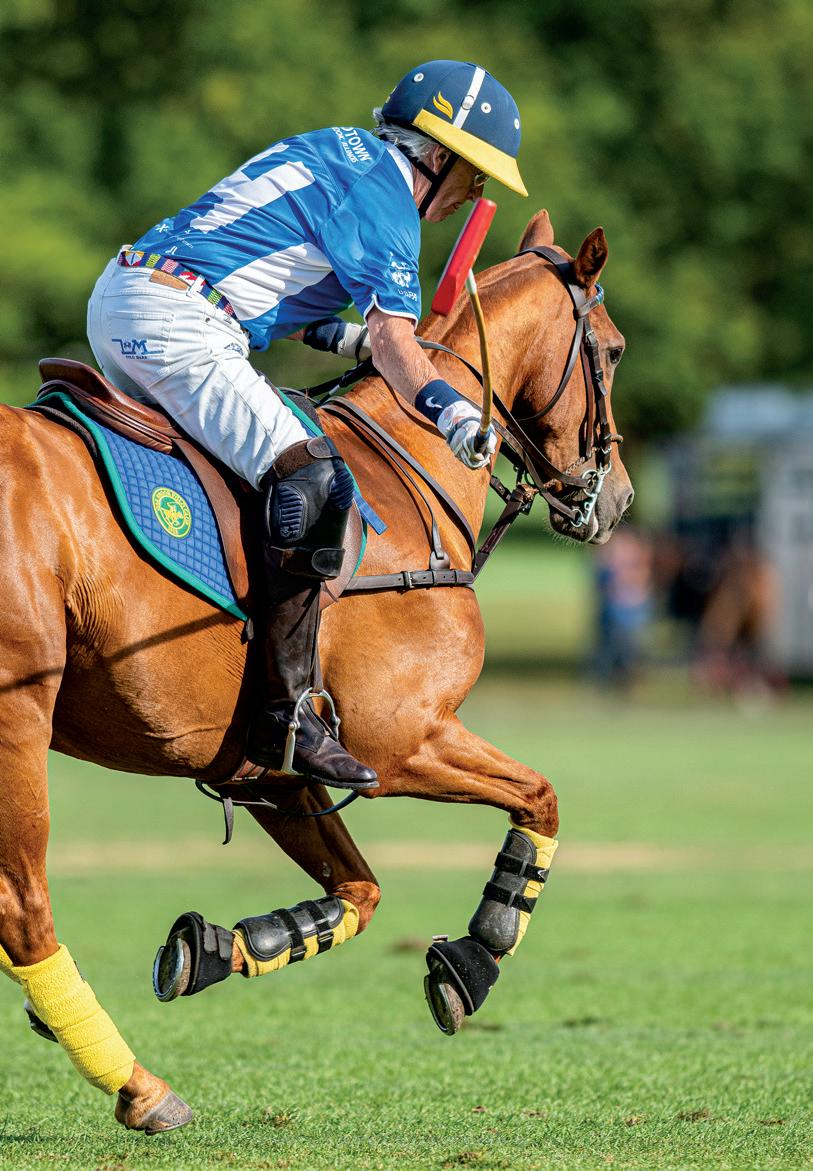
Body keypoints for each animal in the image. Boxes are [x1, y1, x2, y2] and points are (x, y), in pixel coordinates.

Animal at [0, 210, 632, 1133]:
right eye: (612, 350)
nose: (615, 500)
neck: (407, 481)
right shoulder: (397, 739)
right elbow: (541, 794)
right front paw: (477, 953)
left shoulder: (272, 768)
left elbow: (359, 891)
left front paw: (219, 947)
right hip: (17, 716)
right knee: (24, 908)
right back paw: (141, 1087)